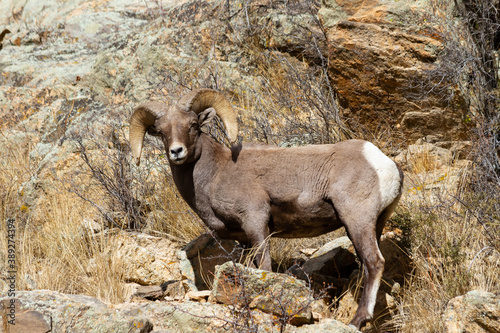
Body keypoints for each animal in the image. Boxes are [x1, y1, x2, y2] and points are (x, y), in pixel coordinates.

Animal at [129, 87, 402, 326]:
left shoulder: (256, 223)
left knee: (374, 262)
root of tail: (384, 164)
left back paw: (358, 320)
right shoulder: (244, 239)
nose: (177, 152)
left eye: (193, 125)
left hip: (356, 221)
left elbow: (265, 267)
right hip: (375, 225)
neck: (217, 172)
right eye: (162, 132)